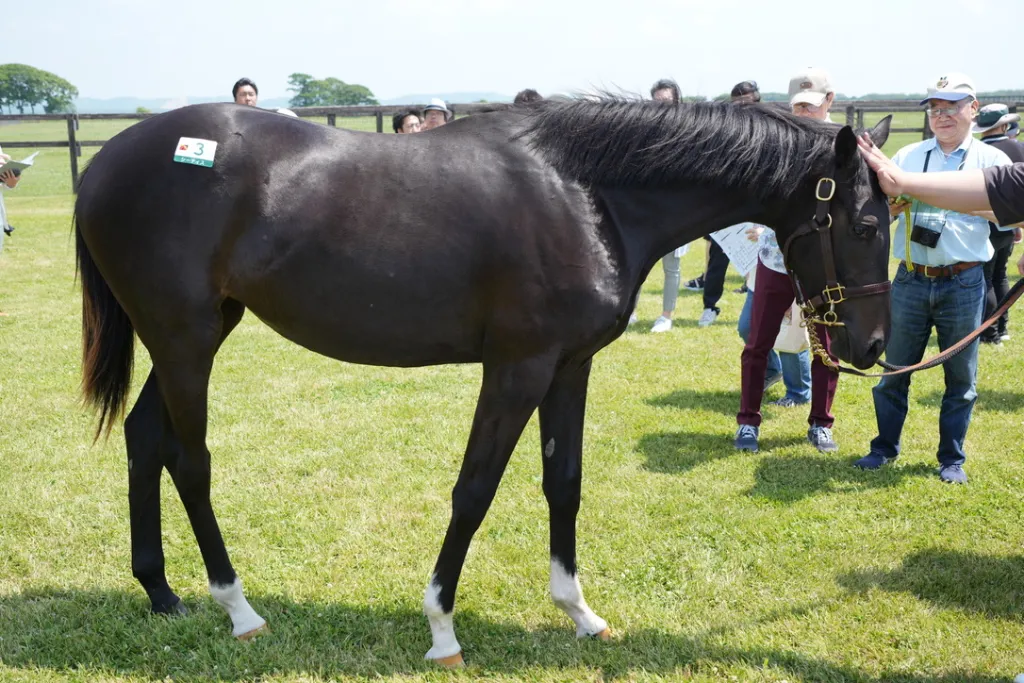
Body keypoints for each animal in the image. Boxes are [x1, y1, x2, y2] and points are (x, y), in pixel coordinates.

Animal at [74, 98, 892, 665]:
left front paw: (579, 611)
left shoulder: (569, 365)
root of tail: (107, 160)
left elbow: (564, 482)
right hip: (184, 339)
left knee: (145, 439)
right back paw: (237, 607)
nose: (876, 344)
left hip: (199, 331)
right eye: (864, 225)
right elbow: (476, 488)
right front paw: (442, 627)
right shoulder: (517, 367)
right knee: (190, 460)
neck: (586, 196)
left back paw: (160, 591)